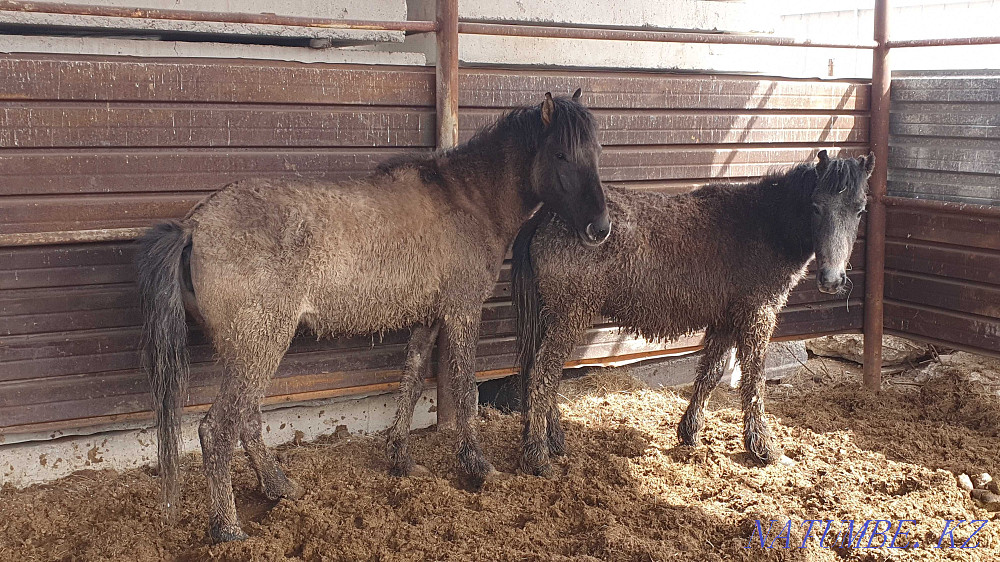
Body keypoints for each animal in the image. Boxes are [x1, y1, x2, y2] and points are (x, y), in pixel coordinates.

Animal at [135, 90, 611, 543]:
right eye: (561, 154)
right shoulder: (462, 312)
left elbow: (412, 382)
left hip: (252, 348)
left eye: (596, 152)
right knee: (219, 428)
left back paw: (280, 487)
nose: (600, 228)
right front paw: (478, 464)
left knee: (247, 419)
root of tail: (196, 226)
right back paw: (229, 529)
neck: (468, 199)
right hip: (261, 342)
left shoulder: (428, 318)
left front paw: (401, 459)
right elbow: (465, 390)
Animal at [512, 150, 873, 477]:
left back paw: (554, 441)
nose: (831, 280)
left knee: (542, 372)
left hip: (553, 316)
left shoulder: (726, 320)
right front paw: (763, 448)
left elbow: (710, 375)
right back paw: (538, 456)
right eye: (816, 206)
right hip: (570, 315)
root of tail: (547, 217)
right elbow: (754, 381)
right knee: (542, 375)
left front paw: (690, 432)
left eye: (860, 210)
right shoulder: (757, 315)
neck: (762, 224)